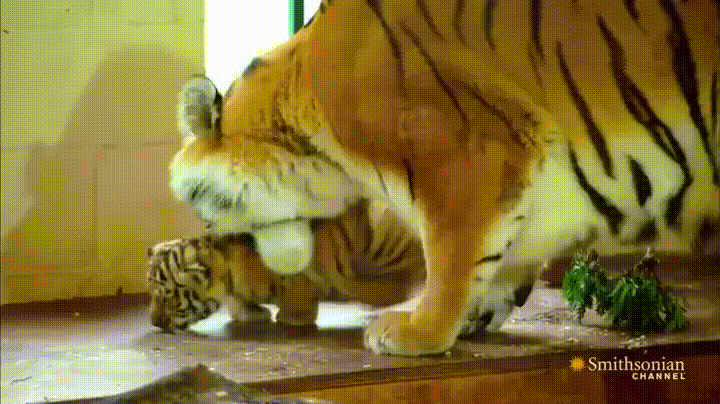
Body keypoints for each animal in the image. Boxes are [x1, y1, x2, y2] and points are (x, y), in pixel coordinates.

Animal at [147, 200, 425, 331]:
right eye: (152, 295)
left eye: (169, 298)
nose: (154, 323)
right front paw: (250, 313)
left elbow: (296, 294)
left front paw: (290, 318)